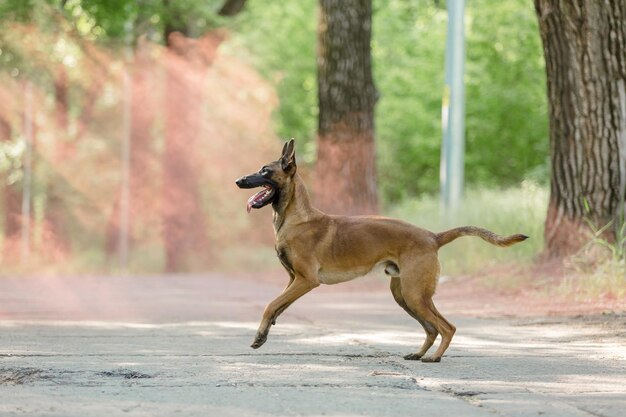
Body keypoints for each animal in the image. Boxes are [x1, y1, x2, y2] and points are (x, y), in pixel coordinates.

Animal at [235, 140, 528, 360]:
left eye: (265, 171)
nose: (238, 180)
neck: (296, 218)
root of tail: (432, 236)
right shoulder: (293, 280)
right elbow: (278, 306)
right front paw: (265, 332)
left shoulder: (306, 280)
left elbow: (270, 305)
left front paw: (260, 334)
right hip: (407, 295)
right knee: (432, 328)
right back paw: (419, 354)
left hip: (413, 294)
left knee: (446, 327)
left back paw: (433, 357)